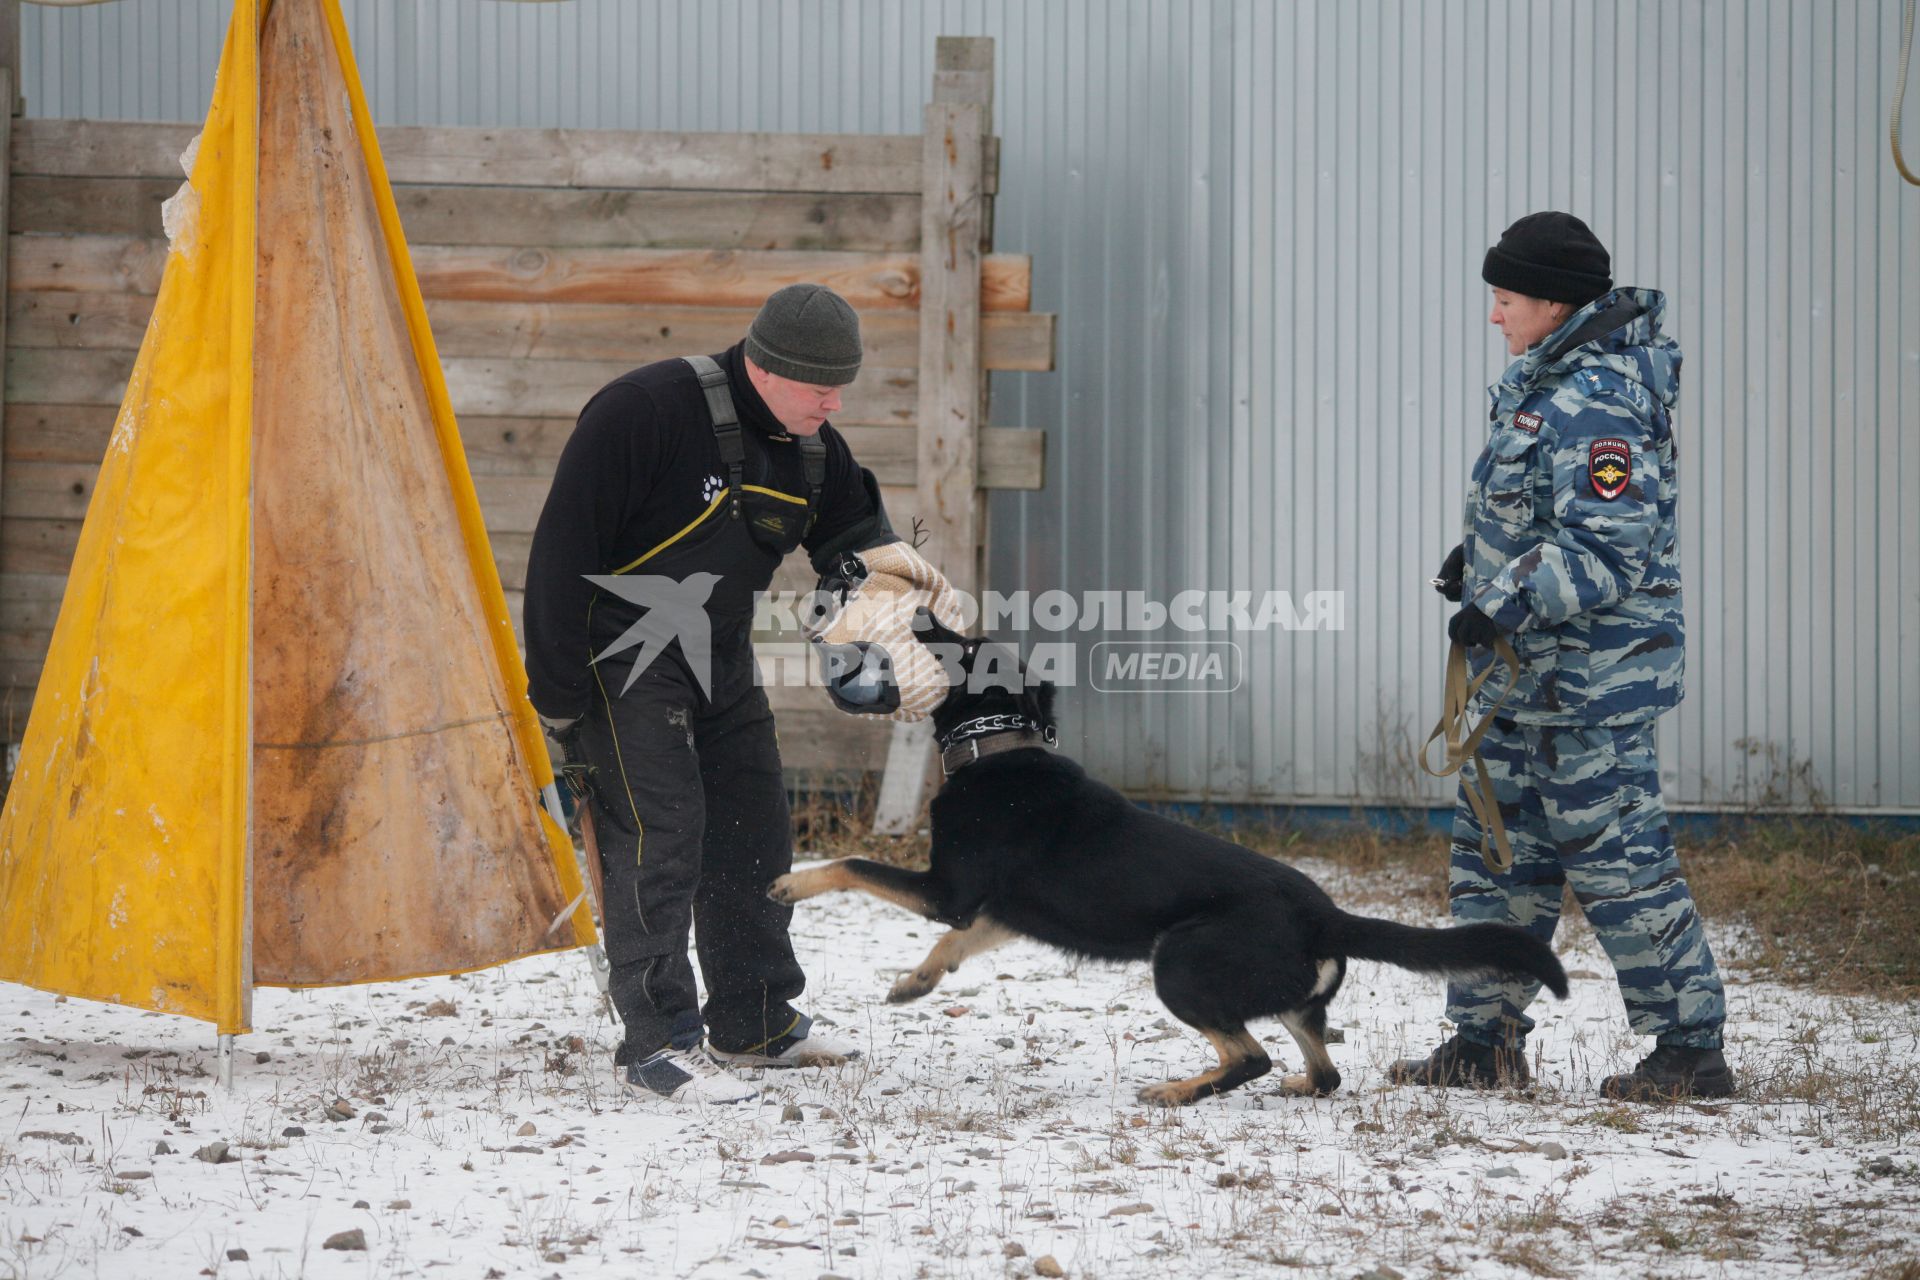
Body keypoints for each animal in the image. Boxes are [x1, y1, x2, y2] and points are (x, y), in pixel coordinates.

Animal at [771, 614, 1566, 1105]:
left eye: (964, 643)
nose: (923, 613)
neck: (997, 744)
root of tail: (1328, 915)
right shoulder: (994, 911)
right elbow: (953, 945)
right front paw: (916, 983)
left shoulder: (947, 890)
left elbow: (853, 865)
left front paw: (791, 882)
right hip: (1289, 998)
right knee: (1322, 1070)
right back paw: (1288, 1086)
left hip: (1179, 964)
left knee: (1249, 1056)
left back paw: (1177, 1091)